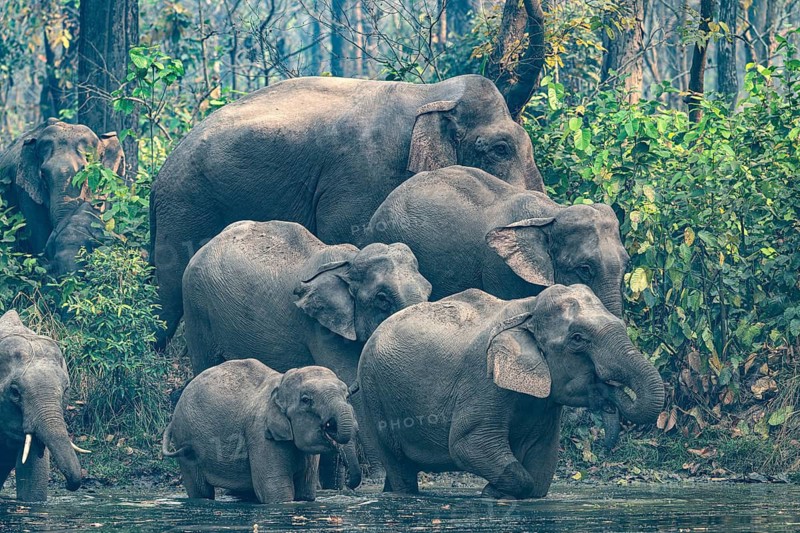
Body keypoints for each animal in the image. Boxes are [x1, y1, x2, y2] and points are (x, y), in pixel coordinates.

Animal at [151, 74, 542, 346]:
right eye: (500, 149)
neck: (430, 94)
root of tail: (161, 170)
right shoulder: (361, 175)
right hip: (186, 203)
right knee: (166, 296)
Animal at [162, 360, 361, 503]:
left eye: (347, 396)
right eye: (306, 400)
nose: (348, 485)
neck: (280, 383)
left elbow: (305, 493)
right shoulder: (260, 434)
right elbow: (277, 491)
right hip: (185, 441)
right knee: (200, 490)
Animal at [356, 285, 664, 499]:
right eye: (578, 339)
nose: (605, 444)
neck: (528, 308)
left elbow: (541, 469)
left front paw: (497, 491)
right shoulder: (483, 381)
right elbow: (468, 444)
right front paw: (492, 493)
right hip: (373, 394)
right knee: (398, 466)